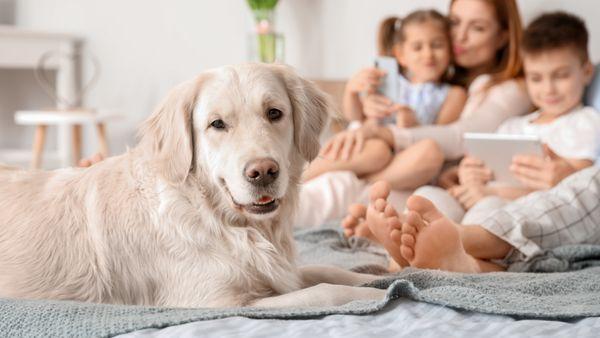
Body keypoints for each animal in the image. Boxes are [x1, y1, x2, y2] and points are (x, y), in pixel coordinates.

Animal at [0, 64, 384, 308]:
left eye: (274, 113)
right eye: (217, 124)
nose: (263, 172)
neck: (217, 217)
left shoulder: (281, 270)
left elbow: (327, 270)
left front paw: (382, 275)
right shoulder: (221, 301)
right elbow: (325, 291)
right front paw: (382, 295)